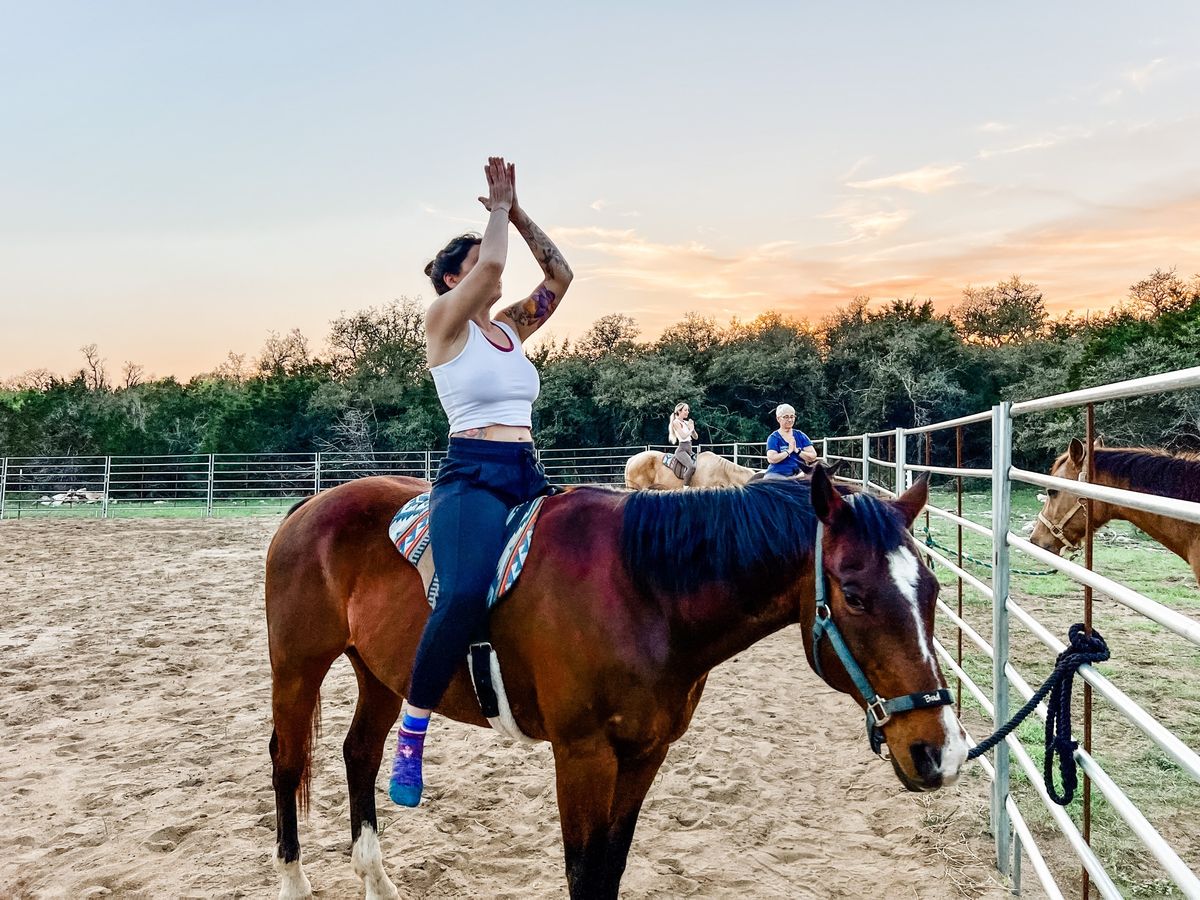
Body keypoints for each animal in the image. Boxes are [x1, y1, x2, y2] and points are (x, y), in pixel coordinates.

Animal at [267, 468, 969, 897]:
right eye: (852, 593)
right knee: (287, 760)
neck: (643, 592)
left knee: (359, 753)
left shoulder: (644, 753)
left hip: (381, 675)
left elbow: (610, 866)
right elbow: (583, 872)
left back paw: (375, 879)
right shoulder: (582, 756)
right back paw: (292, 880)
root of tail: (311, 506)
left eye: (933, 589)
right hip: (297, 670)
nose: (942, 749)